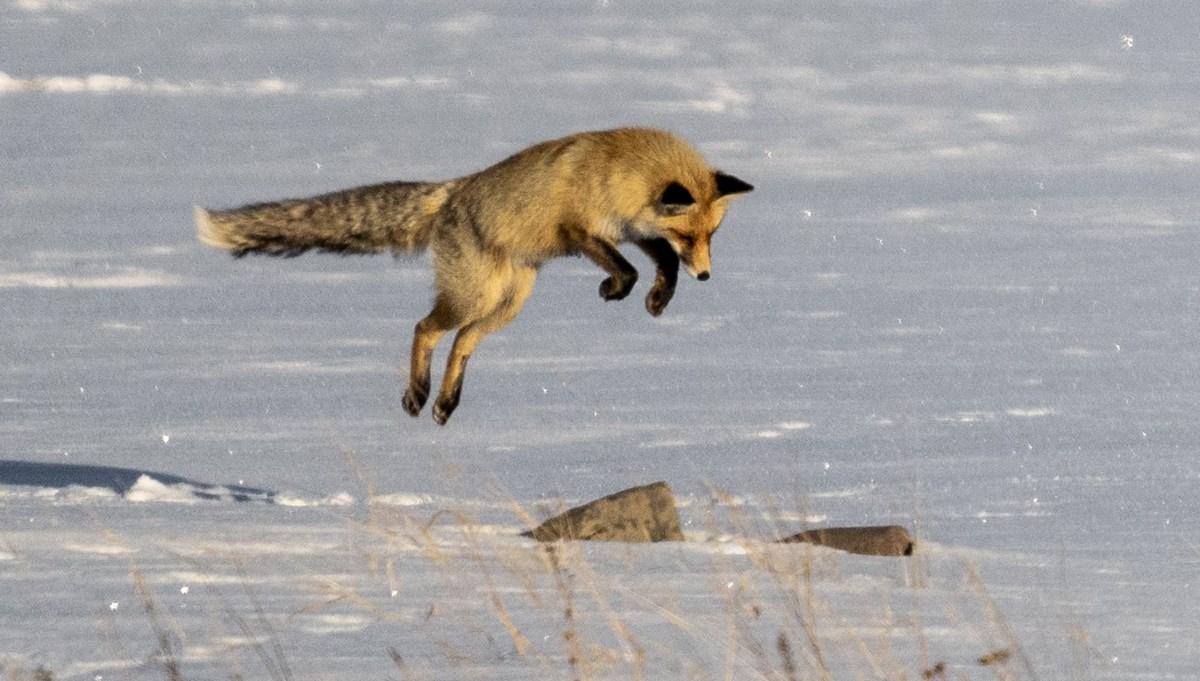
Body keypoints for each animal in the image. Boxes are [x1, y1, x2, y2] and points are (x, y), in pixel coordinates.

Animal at [201, 127, 753, 422]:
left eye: (712, 235)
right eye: (689, 235)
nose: (706, 276)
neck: (618, 171)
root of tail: (453, 191)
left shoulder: (632, 229)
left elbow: (659, 263)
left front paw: (660, 297)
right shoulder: (582, 230)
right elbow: (627, 267)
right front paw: (617, 288)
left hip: (508, 303)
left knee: (463, 342)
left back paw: (446, 401)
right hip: (475, 296)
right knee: (426, 329)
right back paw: (419, 394)